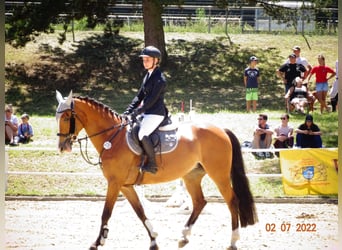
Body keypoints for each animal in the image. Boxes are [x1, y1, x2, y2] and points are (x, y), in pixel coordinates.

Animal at [55, 91, 256, 250]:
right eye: (56, 118)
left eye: (65, 117)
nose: (62, 147)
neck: (113, 137)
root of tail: (221, 129)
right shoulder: (125, 186)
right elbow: (140, 211)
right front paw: (153, 240)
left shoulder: (114, 183)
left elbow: (106, 212)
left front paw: (97, 242)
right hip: (191, 176)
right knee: (199, 202)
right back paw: (183, 237)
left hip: (219, 175)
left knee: (232, 201)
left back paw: (233, 241)